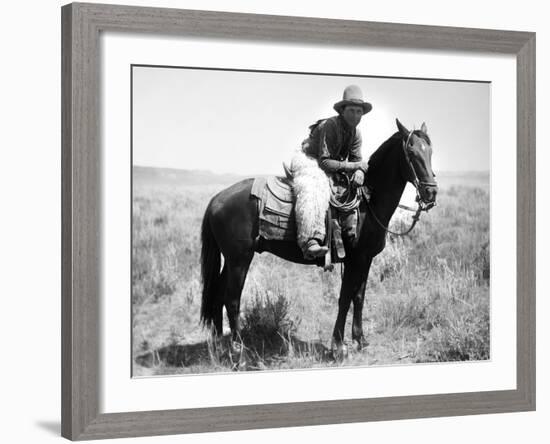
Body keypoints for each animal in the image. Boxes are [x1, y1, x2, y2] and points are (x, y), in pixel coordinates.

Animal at [201, 119, 438, 358]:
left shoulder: (366, 259)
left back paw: (220, 344)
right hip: (239, 259)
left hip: (231, 260)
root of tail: (216, 199)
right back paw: (238, 351)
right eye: (411, 152)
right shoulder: (355, 260)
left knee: (218, 295)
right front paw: (338, 346)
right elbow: (345, 298)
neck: (367, 203)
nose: (431, 193)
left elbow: (359, 297)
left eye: (430, 151)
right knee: (232, 299)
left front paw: (360, 340)